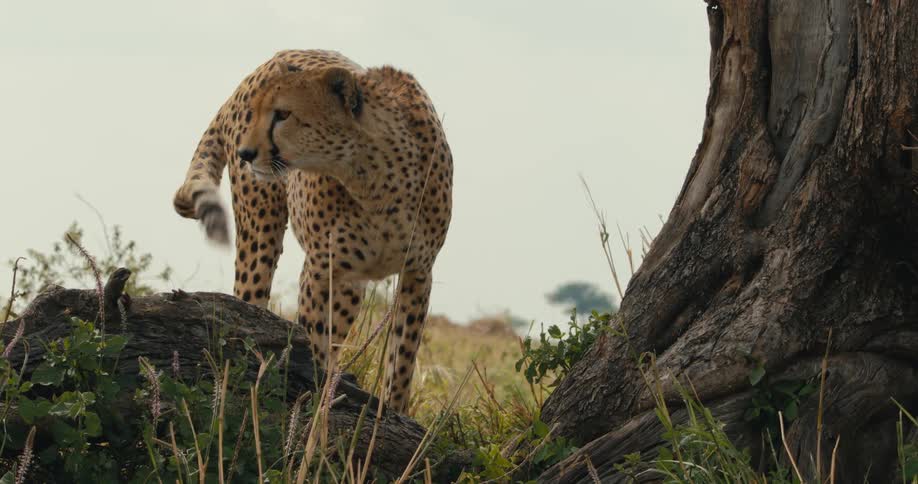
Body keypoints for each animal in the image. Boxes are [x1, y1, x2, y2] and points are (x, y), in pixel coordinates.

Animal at [172, 49, 453, 412]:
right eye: (259, 113)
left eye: (282, 114)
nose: (245, 153)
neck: (375, 178)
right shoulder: (321, 270)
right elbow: (315, 340)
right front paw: (318, 404)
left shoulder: (417, 272)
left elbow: (402, 359)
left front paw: (391, 412)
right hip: (261, 236)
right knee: (248, 302)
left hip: (350, 286)